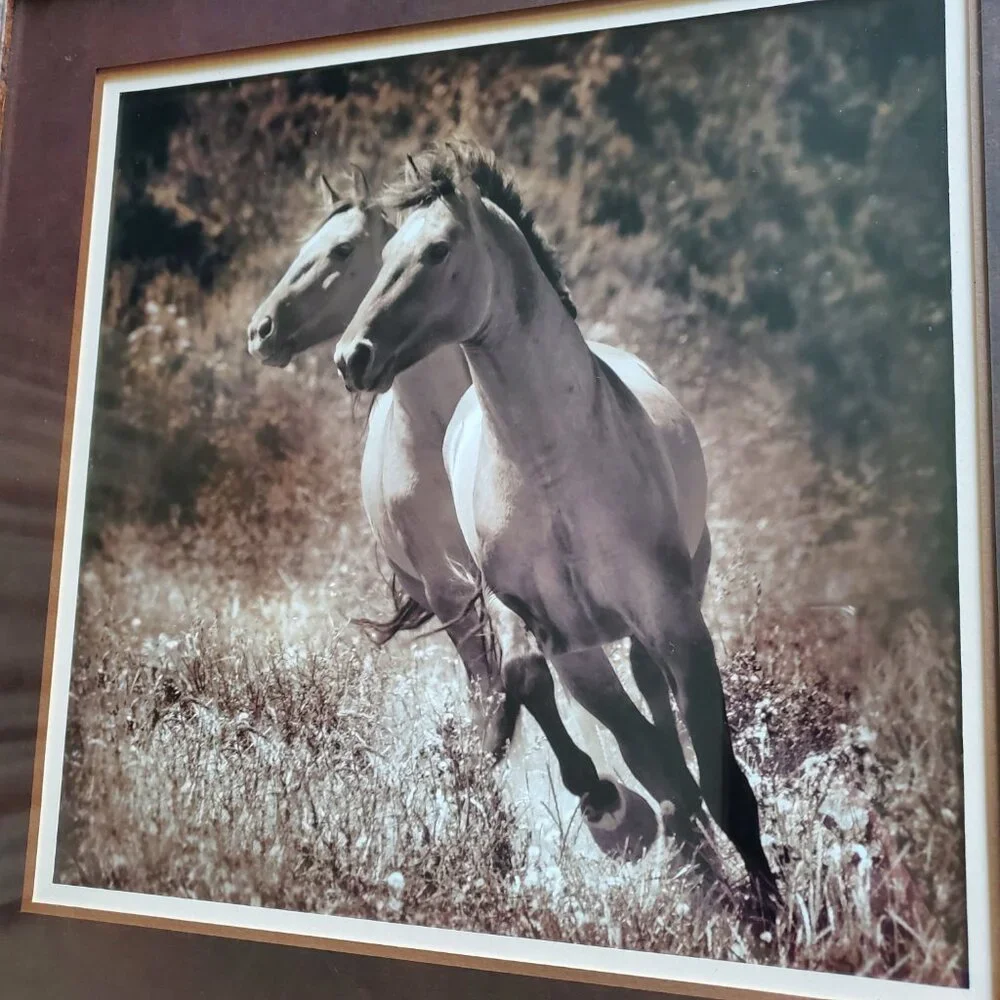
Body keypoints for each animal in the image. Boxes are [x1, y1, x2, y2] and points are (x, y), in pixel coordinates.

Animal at [334, 141, 781, 919]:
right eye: (383, 252)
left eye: (438, 250)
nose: (352, 356)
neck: (552, 462)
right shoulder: (565, 641)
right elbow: (641, 752)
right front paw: (635, 826)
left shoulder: (677, 624)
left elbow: (718, 775)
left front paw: (766, 909)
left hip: (669, 599)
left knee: (654, 695)